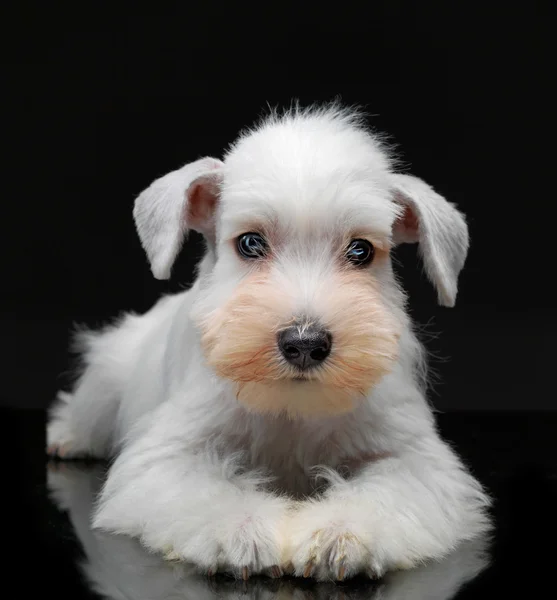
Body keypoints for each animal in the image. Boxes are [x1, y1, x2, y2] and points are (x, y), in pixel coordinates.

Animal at [47, 104, 490, 580]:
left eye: (361, 251)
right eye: (250, 243)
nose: (305, 343)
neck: (291, 411)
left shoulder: (414, 458)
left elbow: (386, 491)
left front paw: (340, 533)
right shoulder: (169, 454)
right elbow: (206, 490)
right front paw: (242, 532)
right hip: (109, 372)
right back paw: (67, 436)